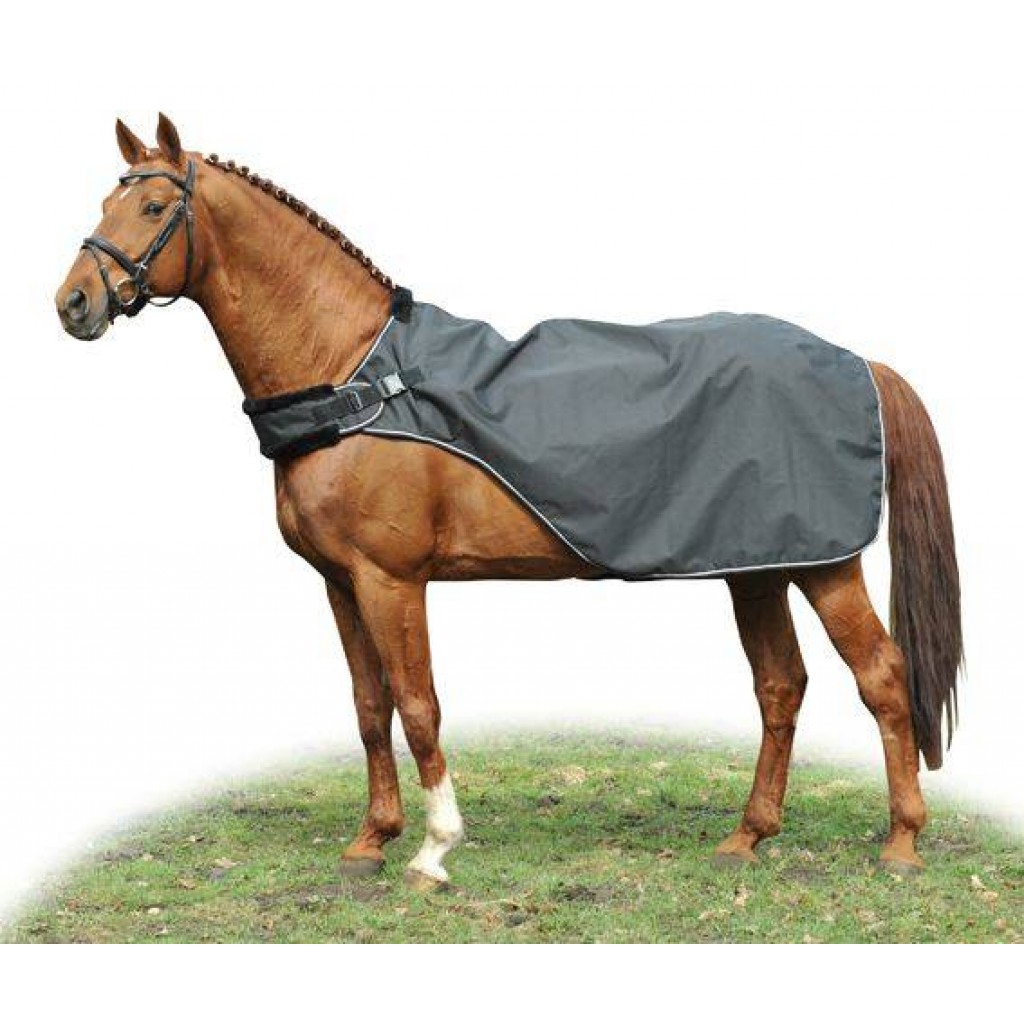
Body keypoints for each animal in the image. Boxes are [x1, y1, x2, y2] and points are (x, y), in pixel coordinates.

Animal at [55, 115, 961, 890]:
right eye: (105, 202)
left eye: (154, 206)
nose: (74, 303)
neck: (354, 376)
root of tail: (857, 361)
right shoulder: (340, 582)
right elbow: (369, 707)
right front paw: (370, 840)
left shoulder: (391, 579)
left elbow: (419, 706)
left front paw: (433, 849)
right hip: (760, 566)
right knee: (781, 686)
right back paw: (747, 836)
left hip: (824, 565)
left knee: (882, 677)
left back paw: (901, 843)